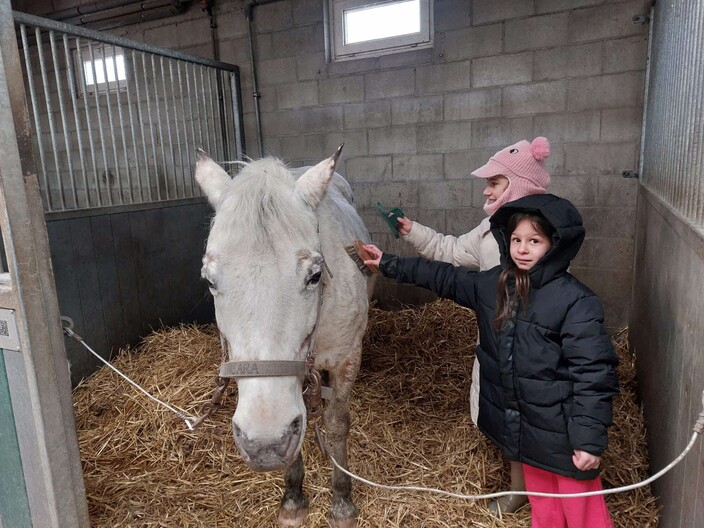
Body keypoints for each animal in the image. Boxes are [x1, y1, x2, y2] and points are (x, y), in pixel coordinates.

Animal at [195, 147, 372, 528]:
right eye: (209, 281)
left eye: (315, 275)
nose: (264, 444)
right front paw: (293, 498)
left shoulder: (348, 358)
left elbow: (337, 424)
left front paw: (342, 503)